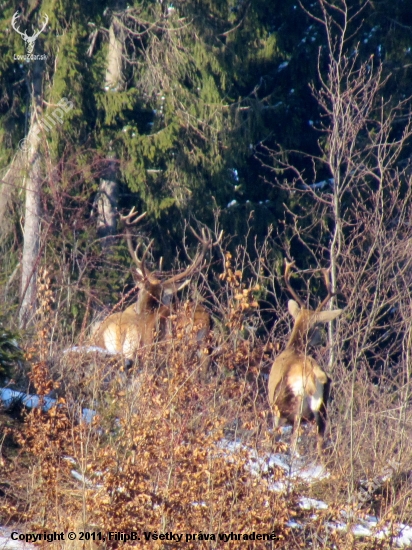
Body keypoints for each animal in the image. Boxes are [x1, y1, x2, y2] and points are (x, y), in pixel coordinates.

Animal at [268, 260, 342, 454]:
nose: (321, 339)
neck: (293, 348)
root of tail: (315, 375)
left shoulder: (274, 407)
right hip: (321, 411)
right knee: (320, 445)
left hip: (297, 406)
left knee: (294, 444)